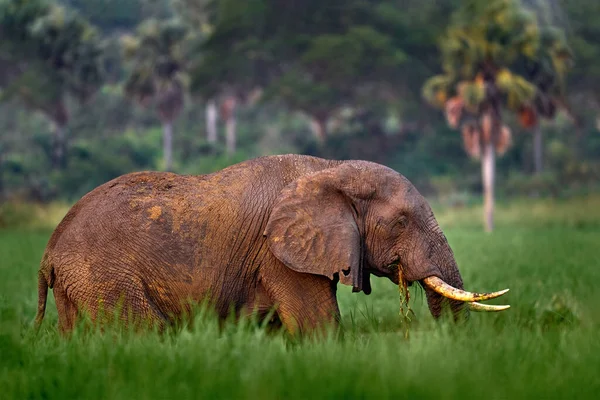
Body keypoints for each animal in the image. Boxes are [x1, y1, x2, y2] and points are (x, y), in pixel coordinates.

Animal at [32, 154, 508, 334]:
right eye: (402, 222)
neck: (331, 168)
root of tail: (49, 251)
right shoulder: (279, 256)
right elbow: (319, 327)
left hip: (80, 282)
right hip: (103, 274)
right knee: (144, 331)